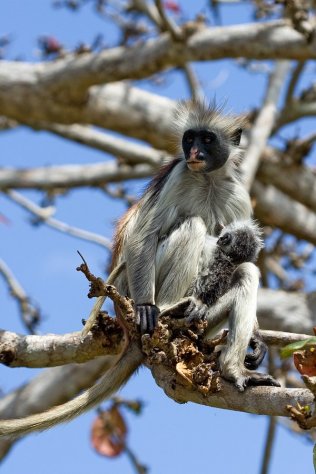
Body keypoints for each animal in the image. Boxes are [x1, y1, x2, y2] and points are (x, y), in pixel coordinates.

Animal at [0, 100, 278, 436]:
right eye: (190, 138)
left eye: (208, 139)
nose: (194, 152)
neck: (207, 179)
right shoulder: (179, 174)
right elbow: (143, 237)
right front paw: (148, 306)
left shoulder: (236, 193)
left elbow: (244, 256)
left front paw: (256, 339)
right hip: (132, 286)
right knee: (192, 226)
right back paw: (167, 310)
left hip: (205, 319)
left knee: (246, 272)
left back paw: (230, 369)